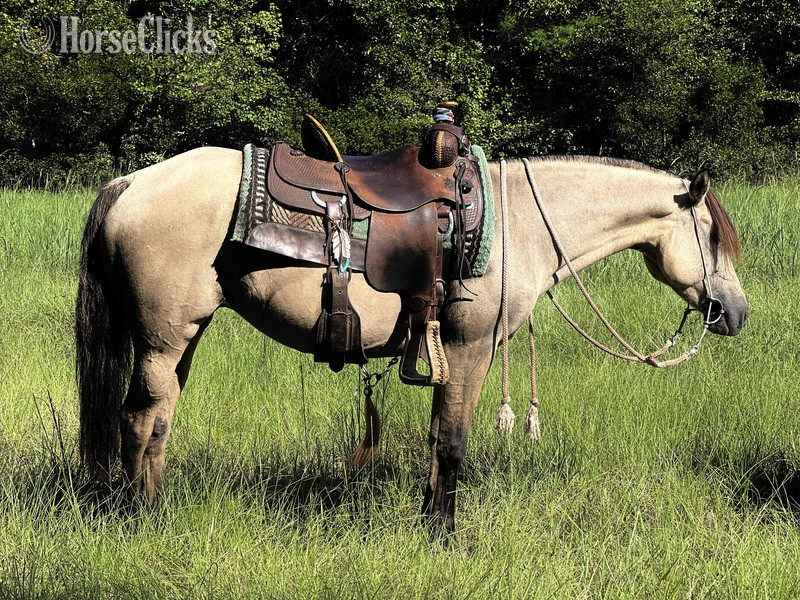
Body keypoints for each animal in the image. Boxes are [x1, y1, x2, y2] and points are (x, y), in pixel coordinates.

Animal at [75, 147, 748, 533]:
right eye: (713, 235)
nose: (735, 313)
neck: (519, 224)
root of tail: (130, 183)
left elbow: (436, 440)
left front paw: (430, 521)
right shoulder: (469, 348)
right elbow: (451, 443)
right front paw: (444, 534)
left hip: (181, 339)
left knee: (159, 420)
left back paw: (156, 508)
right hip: (162, 341)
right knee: (138, 420)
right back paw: (138, 522)